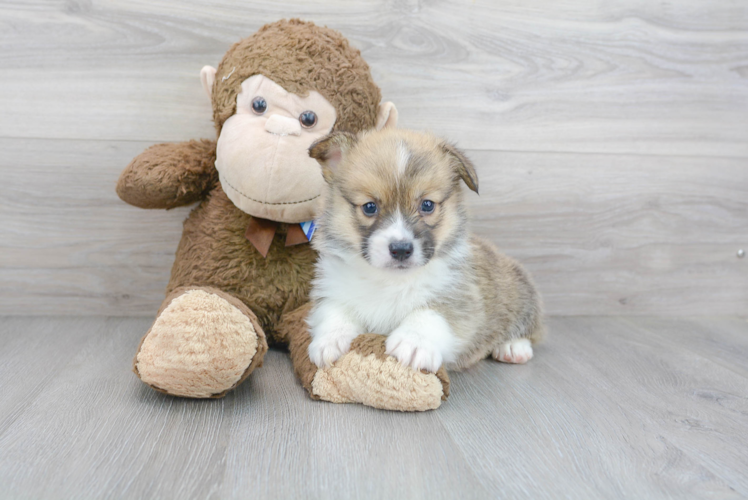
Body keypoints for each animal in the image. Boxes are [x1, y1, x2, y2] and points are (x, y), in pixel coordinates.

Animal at [304, 127, 544, 374]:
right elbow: (334, 313)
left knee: (529, 330)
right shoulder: (332, 291)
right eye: (370, 207)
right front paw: (329, 340)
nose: (401, 250)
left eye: (427, 205)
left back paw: (513, 348)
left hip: (521, 294)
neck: (389, 280)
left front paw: (414, 342)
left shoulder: (459, 298)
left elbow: (430, 313)